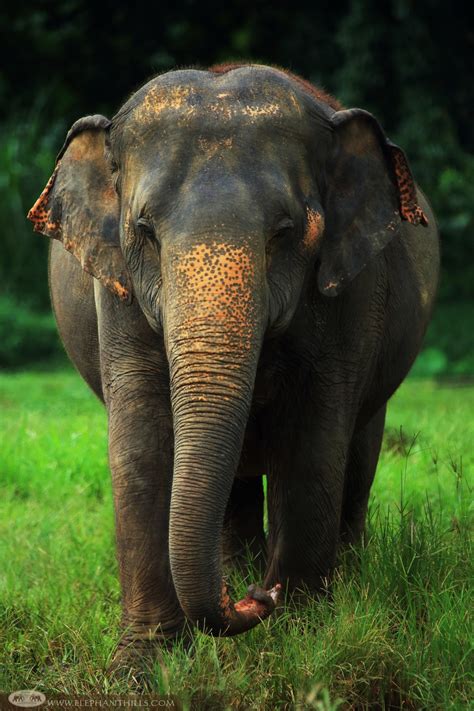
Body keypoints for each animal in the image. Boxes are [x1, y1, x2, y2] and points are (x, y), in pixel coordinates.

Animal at [27, 64, 438, 672]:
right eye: (145, 231)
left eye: (284, 233)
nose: (256, 599)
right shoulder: (116, 293)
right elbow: (141, 445)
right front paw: (143, 667)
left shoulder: (351, 293)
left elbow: (314, 443)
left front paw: (302, 641)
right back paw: (242, 568)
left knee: (358, 454)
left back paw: (338, 578)